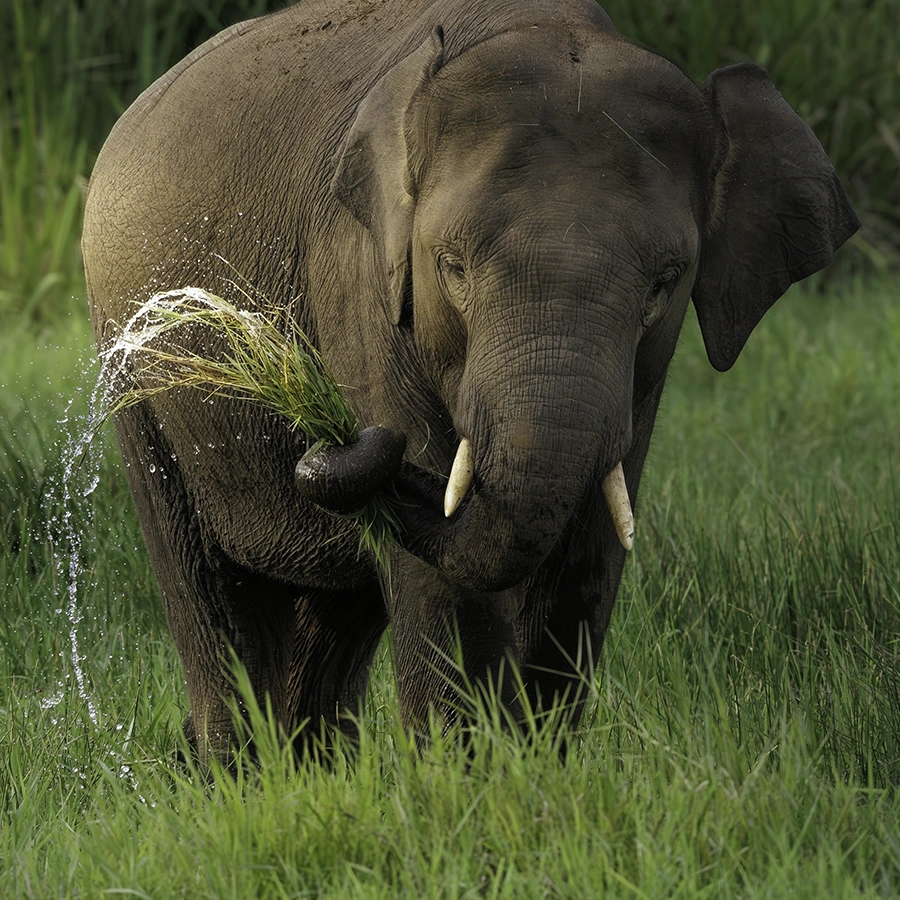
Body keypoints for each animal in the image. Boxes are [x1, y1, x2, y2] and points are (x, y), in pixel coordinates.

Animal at [82, 0, 858, 761]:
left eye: (666, 282)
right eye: (451, 267)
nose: (336, 432)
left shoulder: (642, 379)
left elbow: (588, 547)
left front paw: (539, 771)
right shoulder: (360, 276)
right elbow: (443, 578)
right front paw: (466, 777)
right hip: (130, 366)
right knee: (205, 585)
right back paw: (236, 771)